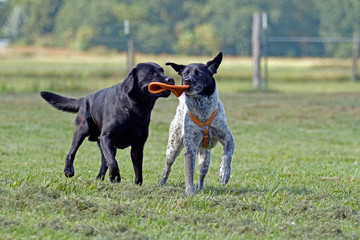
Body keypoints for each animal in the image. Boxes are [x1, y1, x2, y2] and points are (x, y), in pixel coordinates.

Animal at [40, 62, 174, 185]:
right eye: (151, 73)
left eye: (162, 71)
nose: (171, 79)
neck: (134, 108)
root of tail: (85, 98)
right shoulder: (106, 137)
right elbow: (113, 163)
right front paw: (116, 177)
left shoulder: (137, 146)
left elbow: (137, 169)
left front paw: (136, 185)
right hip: (82, 130)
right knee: (72, 152)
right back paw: (69, 171)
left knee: (104, 162)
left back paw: (99, 178)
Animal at [159, 52, 235, 195]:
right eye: (185, 74)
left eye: (199, 73)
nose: (186, 81)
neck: (202, 110)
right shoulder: (190, 150)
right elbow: (189, 172)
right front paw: (190, 191)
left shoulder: (228, 139)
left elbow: (227, 156)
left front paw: (224, 174)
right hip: (172, 148)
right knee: (167, 167)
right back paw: (161, 182)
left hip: (205, 159)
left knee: (201, 174)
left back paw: (200, 187)